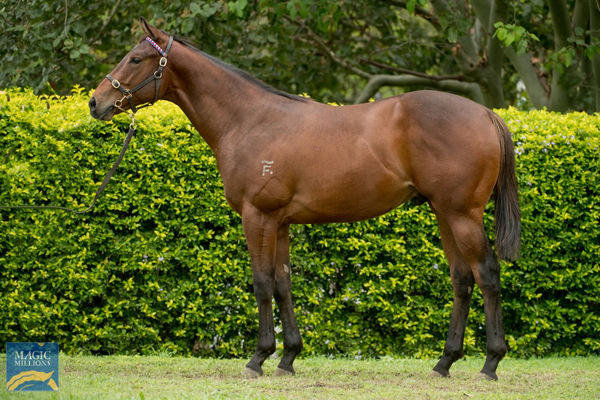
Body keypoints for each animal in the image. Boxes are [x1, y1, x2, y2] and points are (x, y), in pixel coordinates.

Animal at [89, 18, 520, 382]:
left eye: (136, 58)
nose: (96, 102)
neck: (250, 120)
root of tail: (486, 114)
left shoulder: (257, 217)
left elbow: (262, 282)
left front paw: (258, 358)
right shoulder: (279, 222)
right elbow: (283, 283)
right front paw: (288, 357)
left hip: (462, 215)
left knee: (486, 274)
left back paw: (490, 363)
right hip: (444, 214)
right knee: (462, 279)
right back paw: (445, 362)